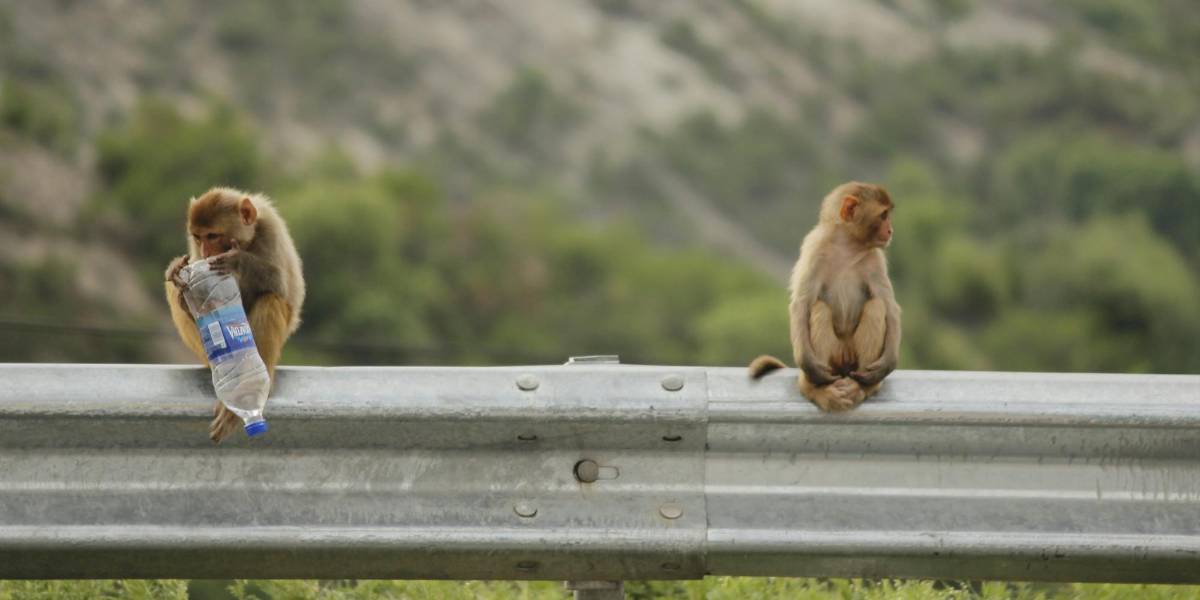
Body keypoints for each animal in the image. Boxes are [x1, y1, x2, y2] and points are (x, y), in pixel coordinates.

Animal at [164, 187, 305, 442]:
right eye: (198, 237)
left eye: (212, 235)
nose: (206, 252)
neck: (247, 241)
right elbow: (180, 280)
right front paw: (177, 273)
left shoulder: (271, 230)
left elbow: (282, 287)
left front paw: (237, 260)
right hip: (204, 354)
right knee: (172, 289)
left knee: (270, 299)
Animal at [748, 181, 900, 412]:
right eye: (883, 216)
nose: (890, 230)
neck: (848, 246)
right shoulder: (814, 249)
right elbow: (801, 303)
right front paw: (808, 363)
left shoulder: (875, 260)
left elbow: (890, 307)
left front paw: (888, 362)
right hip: (833, 361)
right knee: (819, 308)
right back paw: (816, 389)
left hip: (853, 361)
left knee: (876, 306)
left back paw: (862, 386)